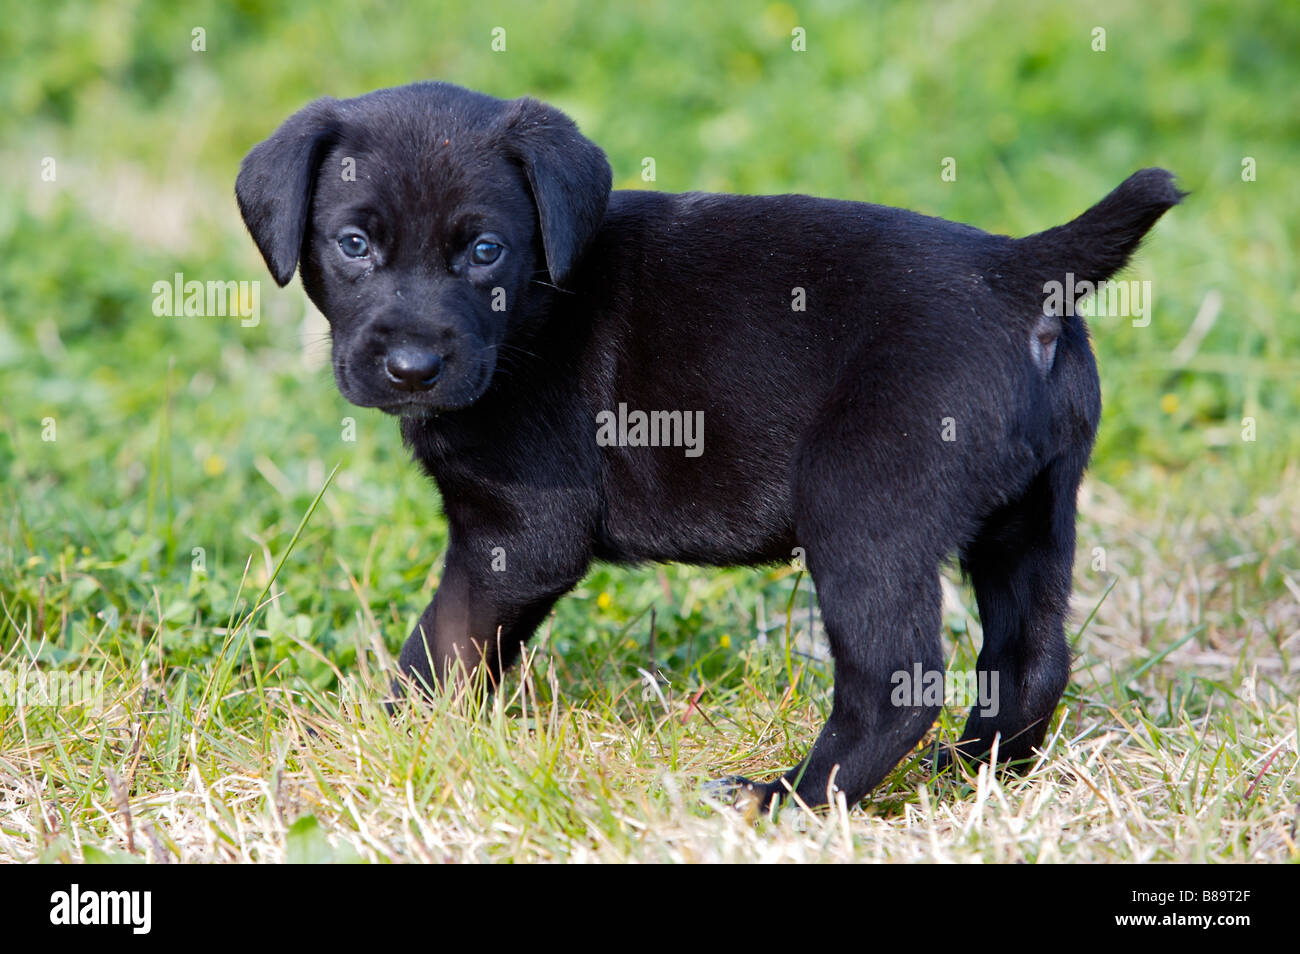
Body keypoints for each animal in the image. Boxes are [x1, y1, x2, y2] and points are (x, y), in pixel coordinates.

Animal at [236, 83, 1180, 816]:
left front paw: (386, 738)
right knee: (1031, 661)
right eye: (354, 244)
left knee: (895, 682)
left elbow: (442, 647)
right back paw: (971, 774)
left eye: (484, 251)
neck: (534, 313)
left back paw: (791, 796)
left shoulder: (519, 535)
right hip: (1033, 514)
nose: (413, 367)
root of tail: (1019, 270)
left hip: (863, 508)